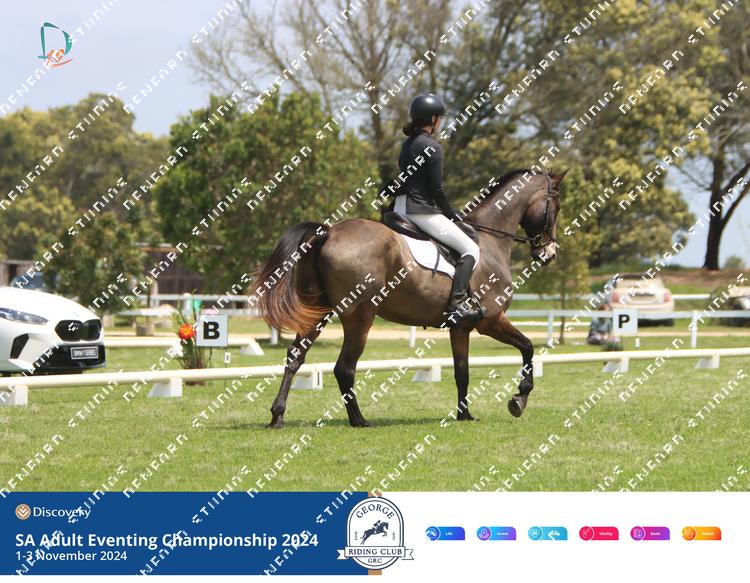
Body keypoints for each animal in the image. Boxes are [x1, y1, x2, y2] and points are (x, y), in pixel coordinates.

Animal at [251, 169, 565, 428]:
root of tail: (328, 232)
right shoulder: (491, 320)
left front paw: (464, 414)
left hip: (317, 310)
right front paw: (519, 399)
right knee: (344, 367)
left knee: (295, 357)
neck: (489, 242)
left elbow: (462, 372)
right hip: (360, 315)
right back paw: (359, 420)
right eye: (557, 206)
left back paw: (277, 415)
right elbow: (528, 347)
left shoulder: (460, 327)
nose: (549, 253)